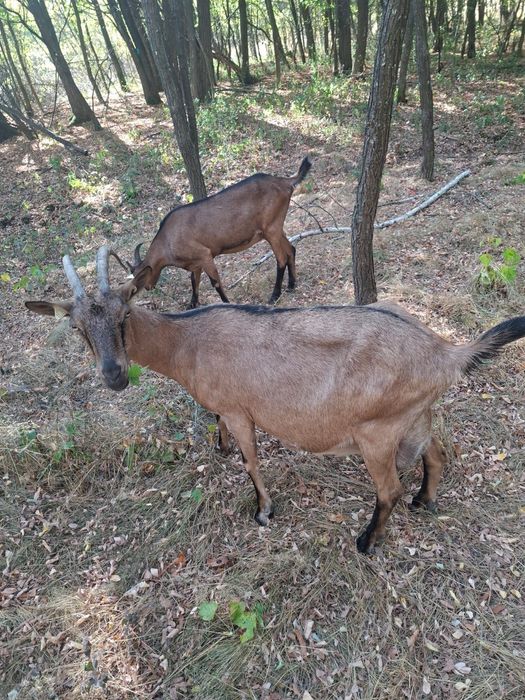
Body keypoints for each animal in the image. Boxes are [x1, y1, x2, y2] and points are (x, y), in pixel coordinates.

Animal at [26, 246, 525, 553]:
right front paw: (220, 447)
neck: (189, 341)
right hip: (416, 416)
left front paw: (263, 511)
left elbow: (251, 461)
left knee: (389, 489)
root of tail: (443, 351)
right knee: (437, 453)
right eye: (77, 328)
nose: (114, 376)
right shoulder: (224, 406)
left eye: (124, 314)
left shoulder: (239, 408)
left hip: (377, 433)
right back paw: (426, 501)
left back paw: (367, 542)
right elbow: (220, 430)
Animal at [127, 157, 312, 308]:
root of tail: (285, 182)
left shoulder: (205, 255)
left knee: (281, 259)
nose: (149, 287)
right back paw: (291, 285)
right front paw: (191, 305)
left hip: (271, 229)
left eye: (140, 276)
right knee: (291, 249)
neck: (167, 240)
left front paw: (227, 303)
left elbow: (215, 282)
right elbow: (194, 282)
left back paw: (274, 296)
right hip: (277, 227)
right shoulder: (195, 263)